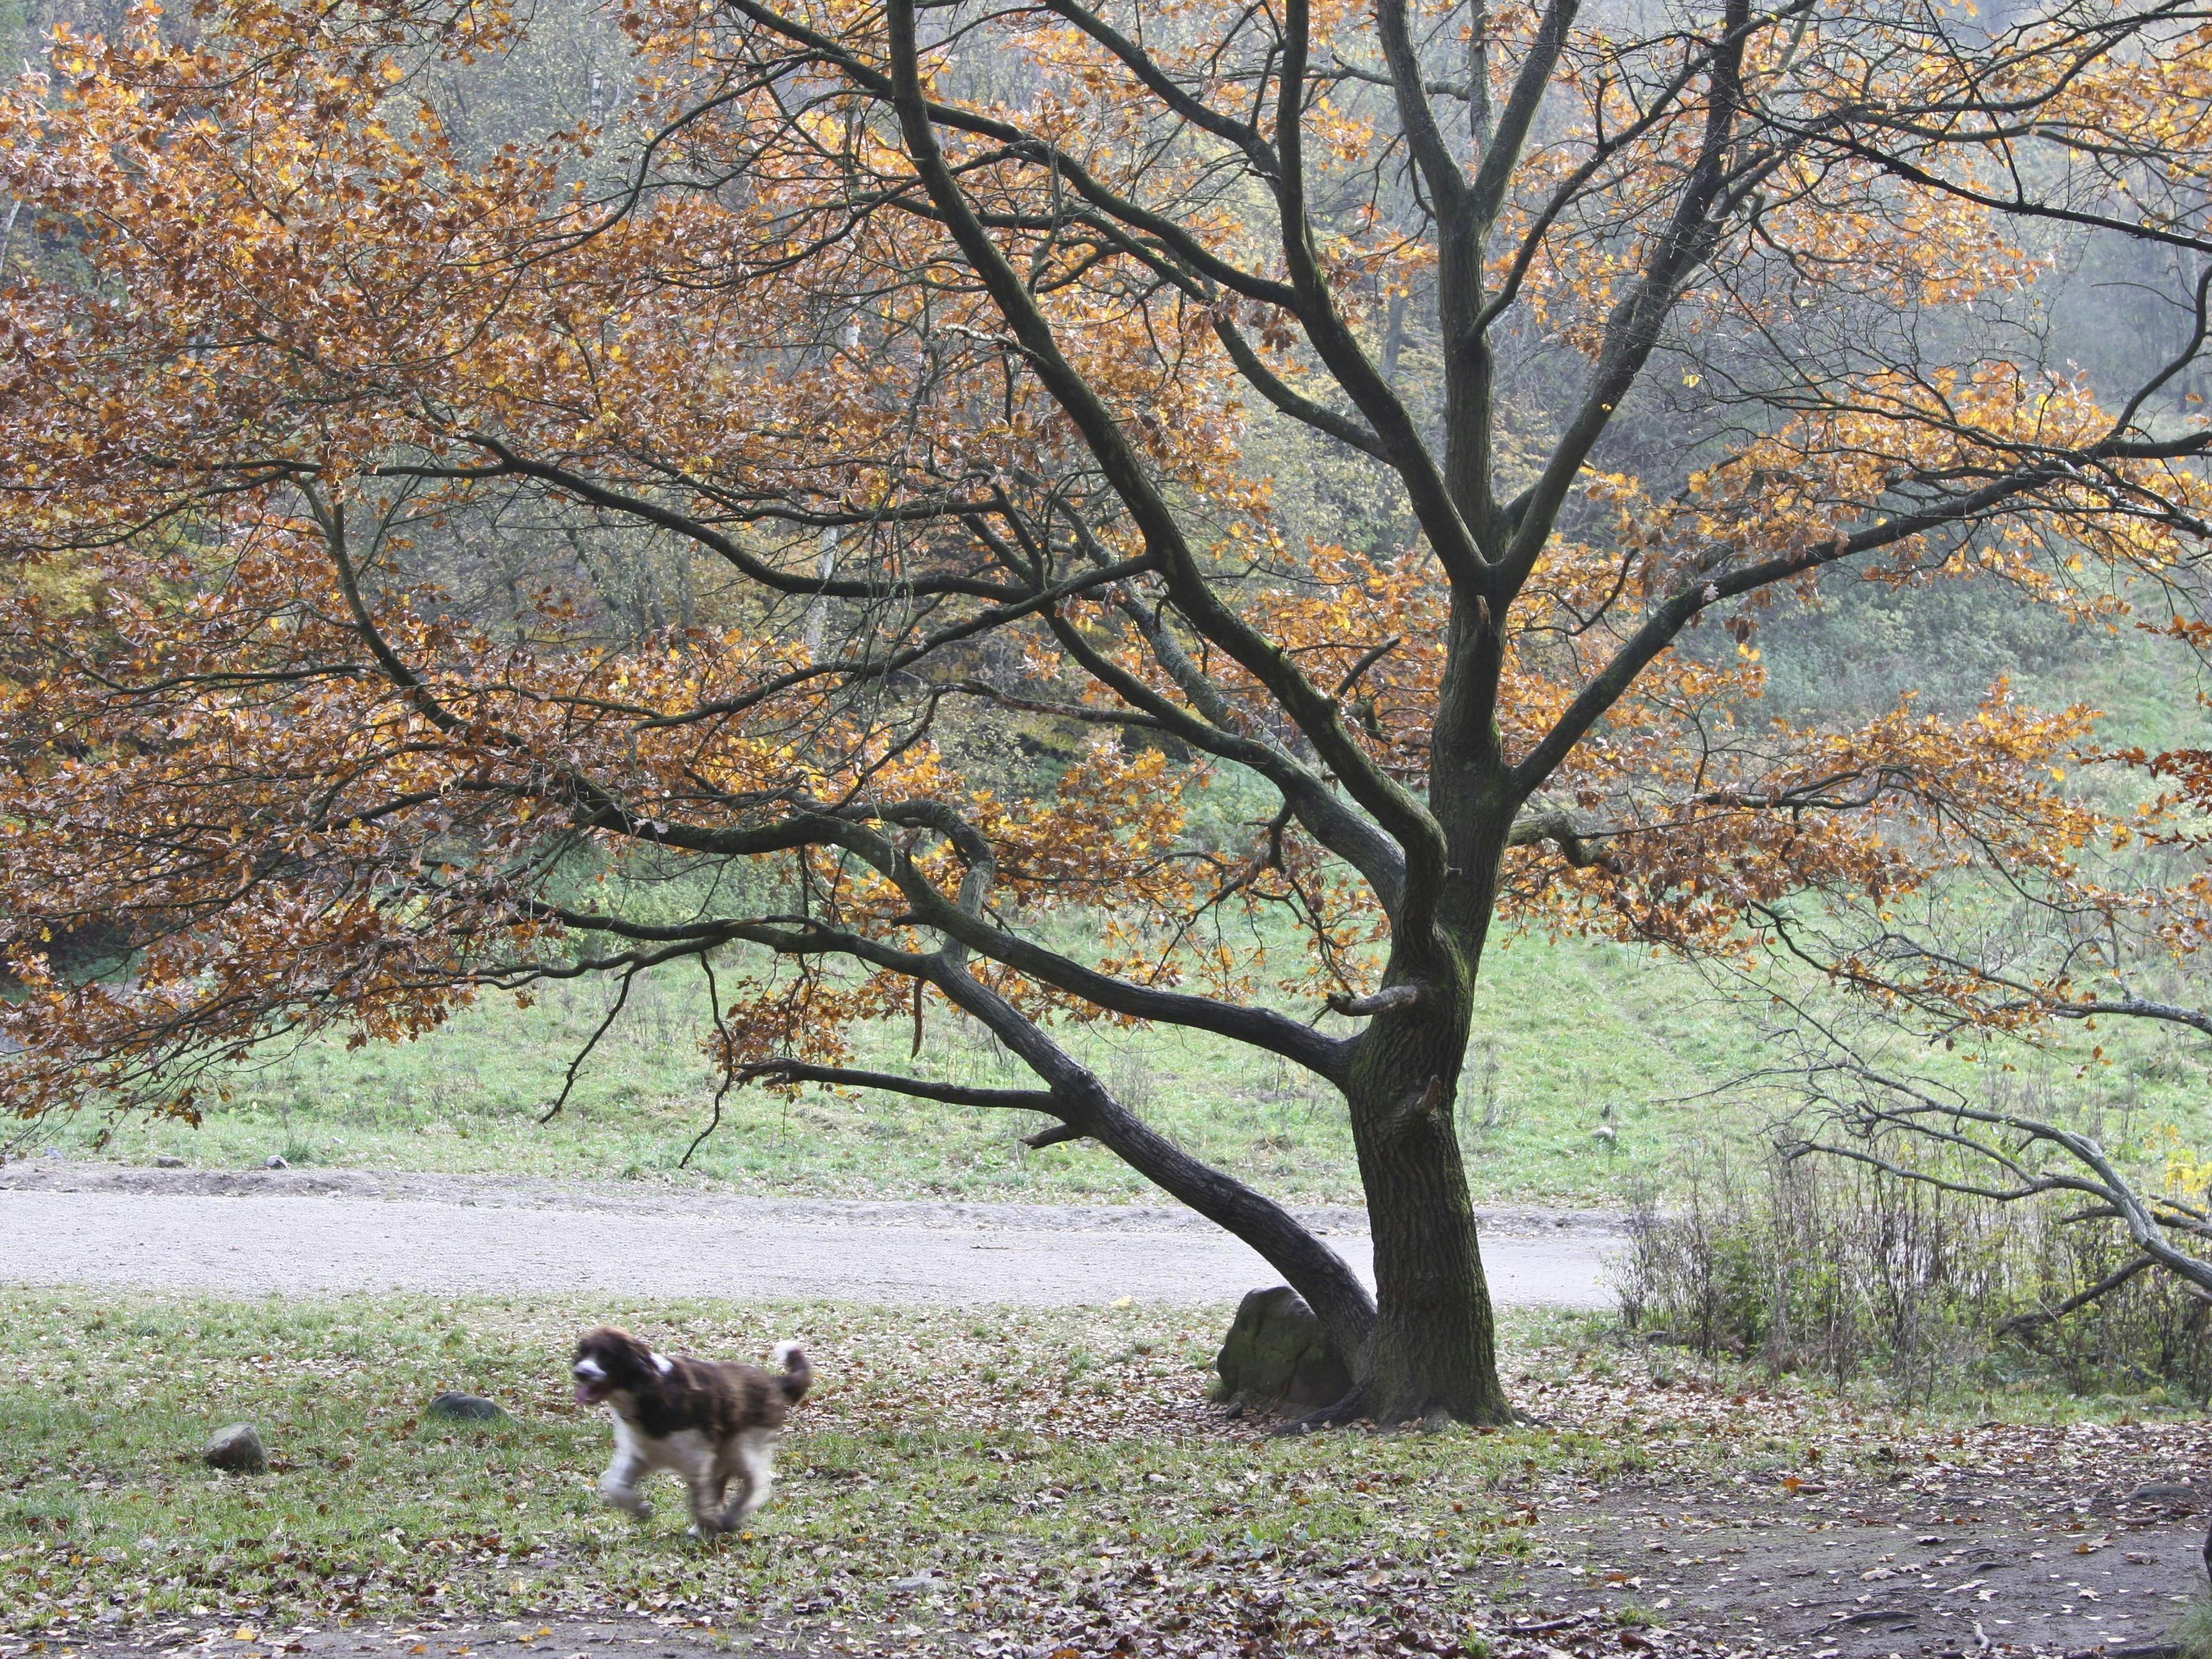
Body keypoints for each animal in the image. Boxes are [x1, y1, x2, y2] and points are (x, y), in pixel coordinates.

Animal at [570, 1336, 813, 1539]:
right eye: (583, 1352)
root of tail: (774, 1382)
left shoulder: (696, 1458)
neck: (649, 1388)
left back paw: (731, 1517)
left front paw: (708, 1525)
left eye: (607, 1356)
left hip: (742, 1446)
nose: (579, 1372)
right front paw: (641, 1510)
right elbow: (616, 1486)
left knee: (755, 1483)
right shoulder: (641, 1455)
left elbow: (699, 1500)